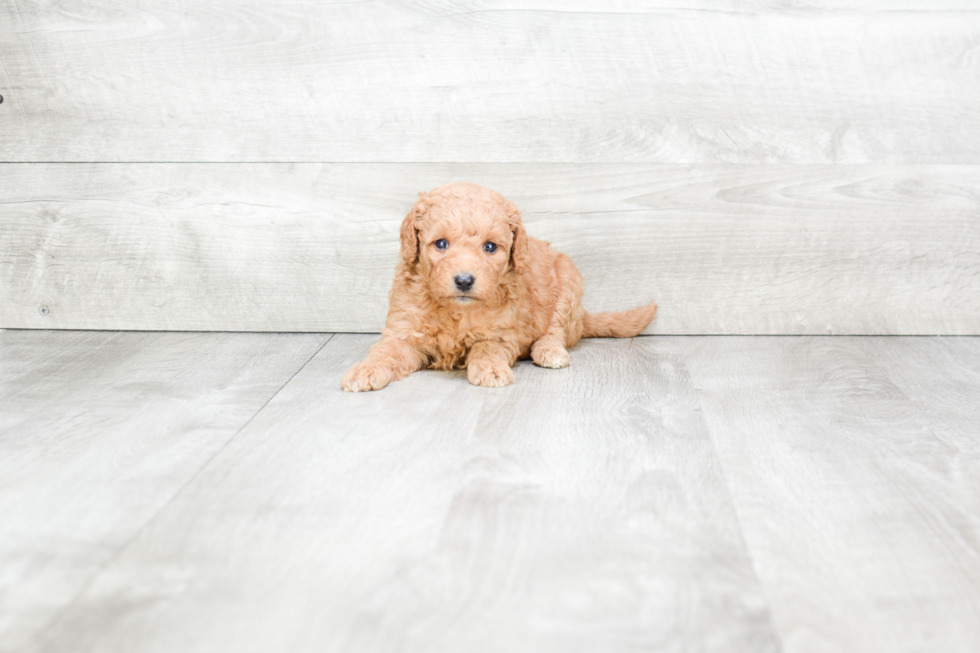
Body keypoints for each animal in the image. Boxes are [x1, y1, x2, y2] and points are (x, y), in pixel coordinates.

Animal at [340, 181, 656, 390]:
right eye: (441, 244)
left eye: (490, 247)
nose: (464, 280)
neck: (456, 311)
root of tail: (582, 316)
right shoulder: (403, 331)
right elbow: (385, 352)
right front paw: (364, 371)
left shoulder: (501, 333)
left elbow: (487, 348)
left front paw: (490, 369)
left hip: (568, 283)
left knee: (556, 332)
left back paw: (549, 352)